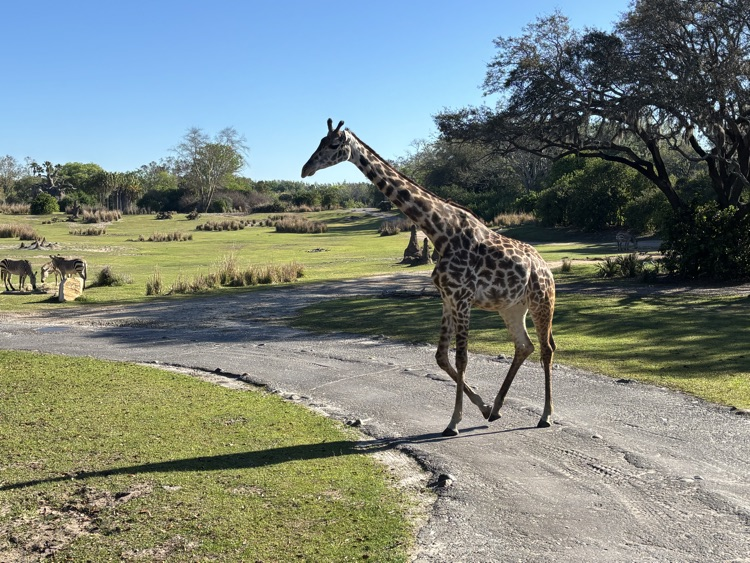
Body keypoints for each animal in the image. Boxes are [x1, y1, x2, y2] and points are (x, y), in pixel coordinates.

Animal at [302, 119, 556, 436]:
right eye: (320, 141)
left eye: (334, 144)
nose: (306, 169)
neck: (440, 231)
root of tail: (546, 268)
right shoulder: (446, 298)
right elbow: (441, 357)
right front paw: (483, 407)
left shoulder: (462, 297)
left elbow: (461, 358)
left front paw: (454, 422)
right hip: (511, 307)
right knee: (525, 346)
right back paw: (497, 409)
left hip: (541, 302)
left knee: (546, 349)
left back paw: (546, 416)